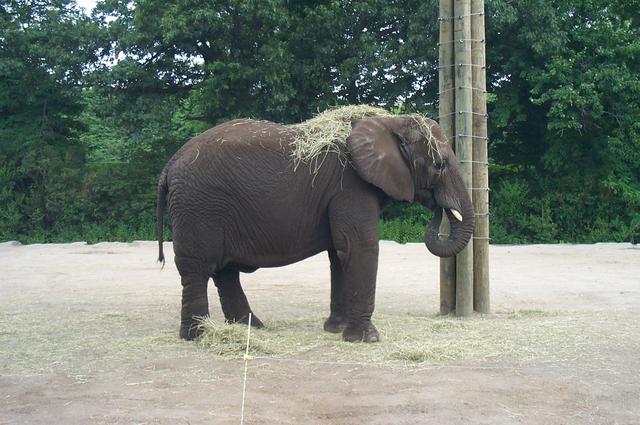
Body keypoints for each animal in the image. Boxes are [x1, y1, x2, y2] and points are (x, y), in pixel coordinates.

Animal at [156, 108, 474, 343]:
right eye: (439, 165)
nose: (439, 208)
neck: (387, 121)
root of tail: (169, 164)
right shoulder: (350, 186)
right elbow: (358, 247)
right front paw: (366, 339)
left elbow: (339, 254)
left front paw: (335, 329)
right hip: (198, 207)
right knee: (198, 269)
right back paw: (198, 336)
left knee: (224, 272)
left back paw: (250, 328)